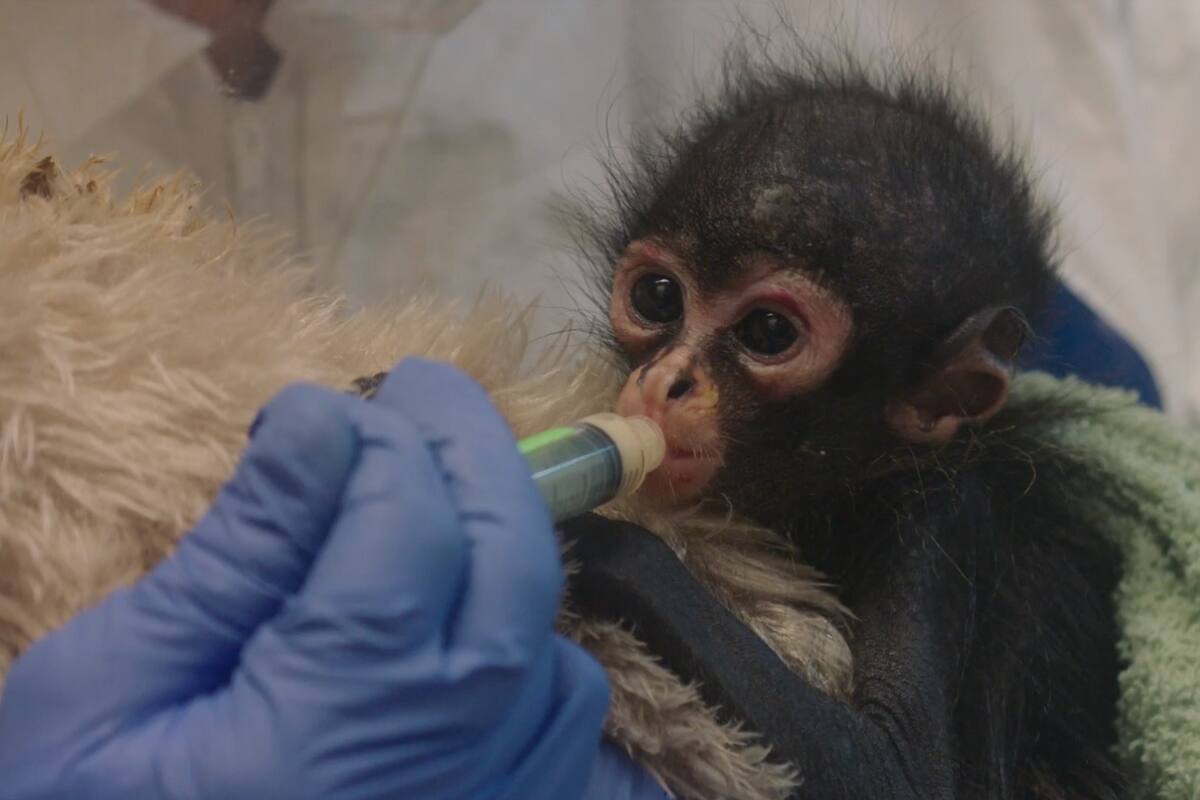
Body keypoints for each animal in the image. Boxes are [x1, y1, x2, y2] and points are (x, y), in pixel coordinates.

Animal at [561, 45, 1129, 800]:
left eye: (768, 331)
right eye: (658, 296)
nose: (663, 384)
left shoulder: (940, 520)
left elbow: (898, 772)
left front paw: (585, 536)